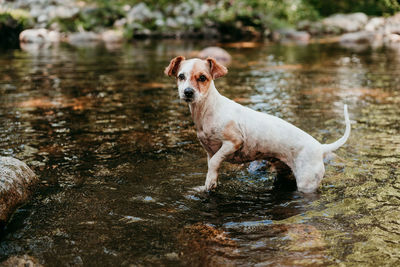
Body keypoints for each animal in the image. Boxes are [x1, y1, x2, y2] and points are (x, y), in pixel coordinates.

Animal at [163, 57, 350, 195]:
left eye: (202, 77)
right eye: (181, 76)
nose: (188, 92)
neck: (208, 110)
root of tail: (321, 147)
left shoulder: (233, 142)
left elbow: (215, 161)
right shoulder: (210, 151)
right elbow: (212, 167)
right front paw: (208, 184)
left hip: (307, 183)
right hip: (285, 172)